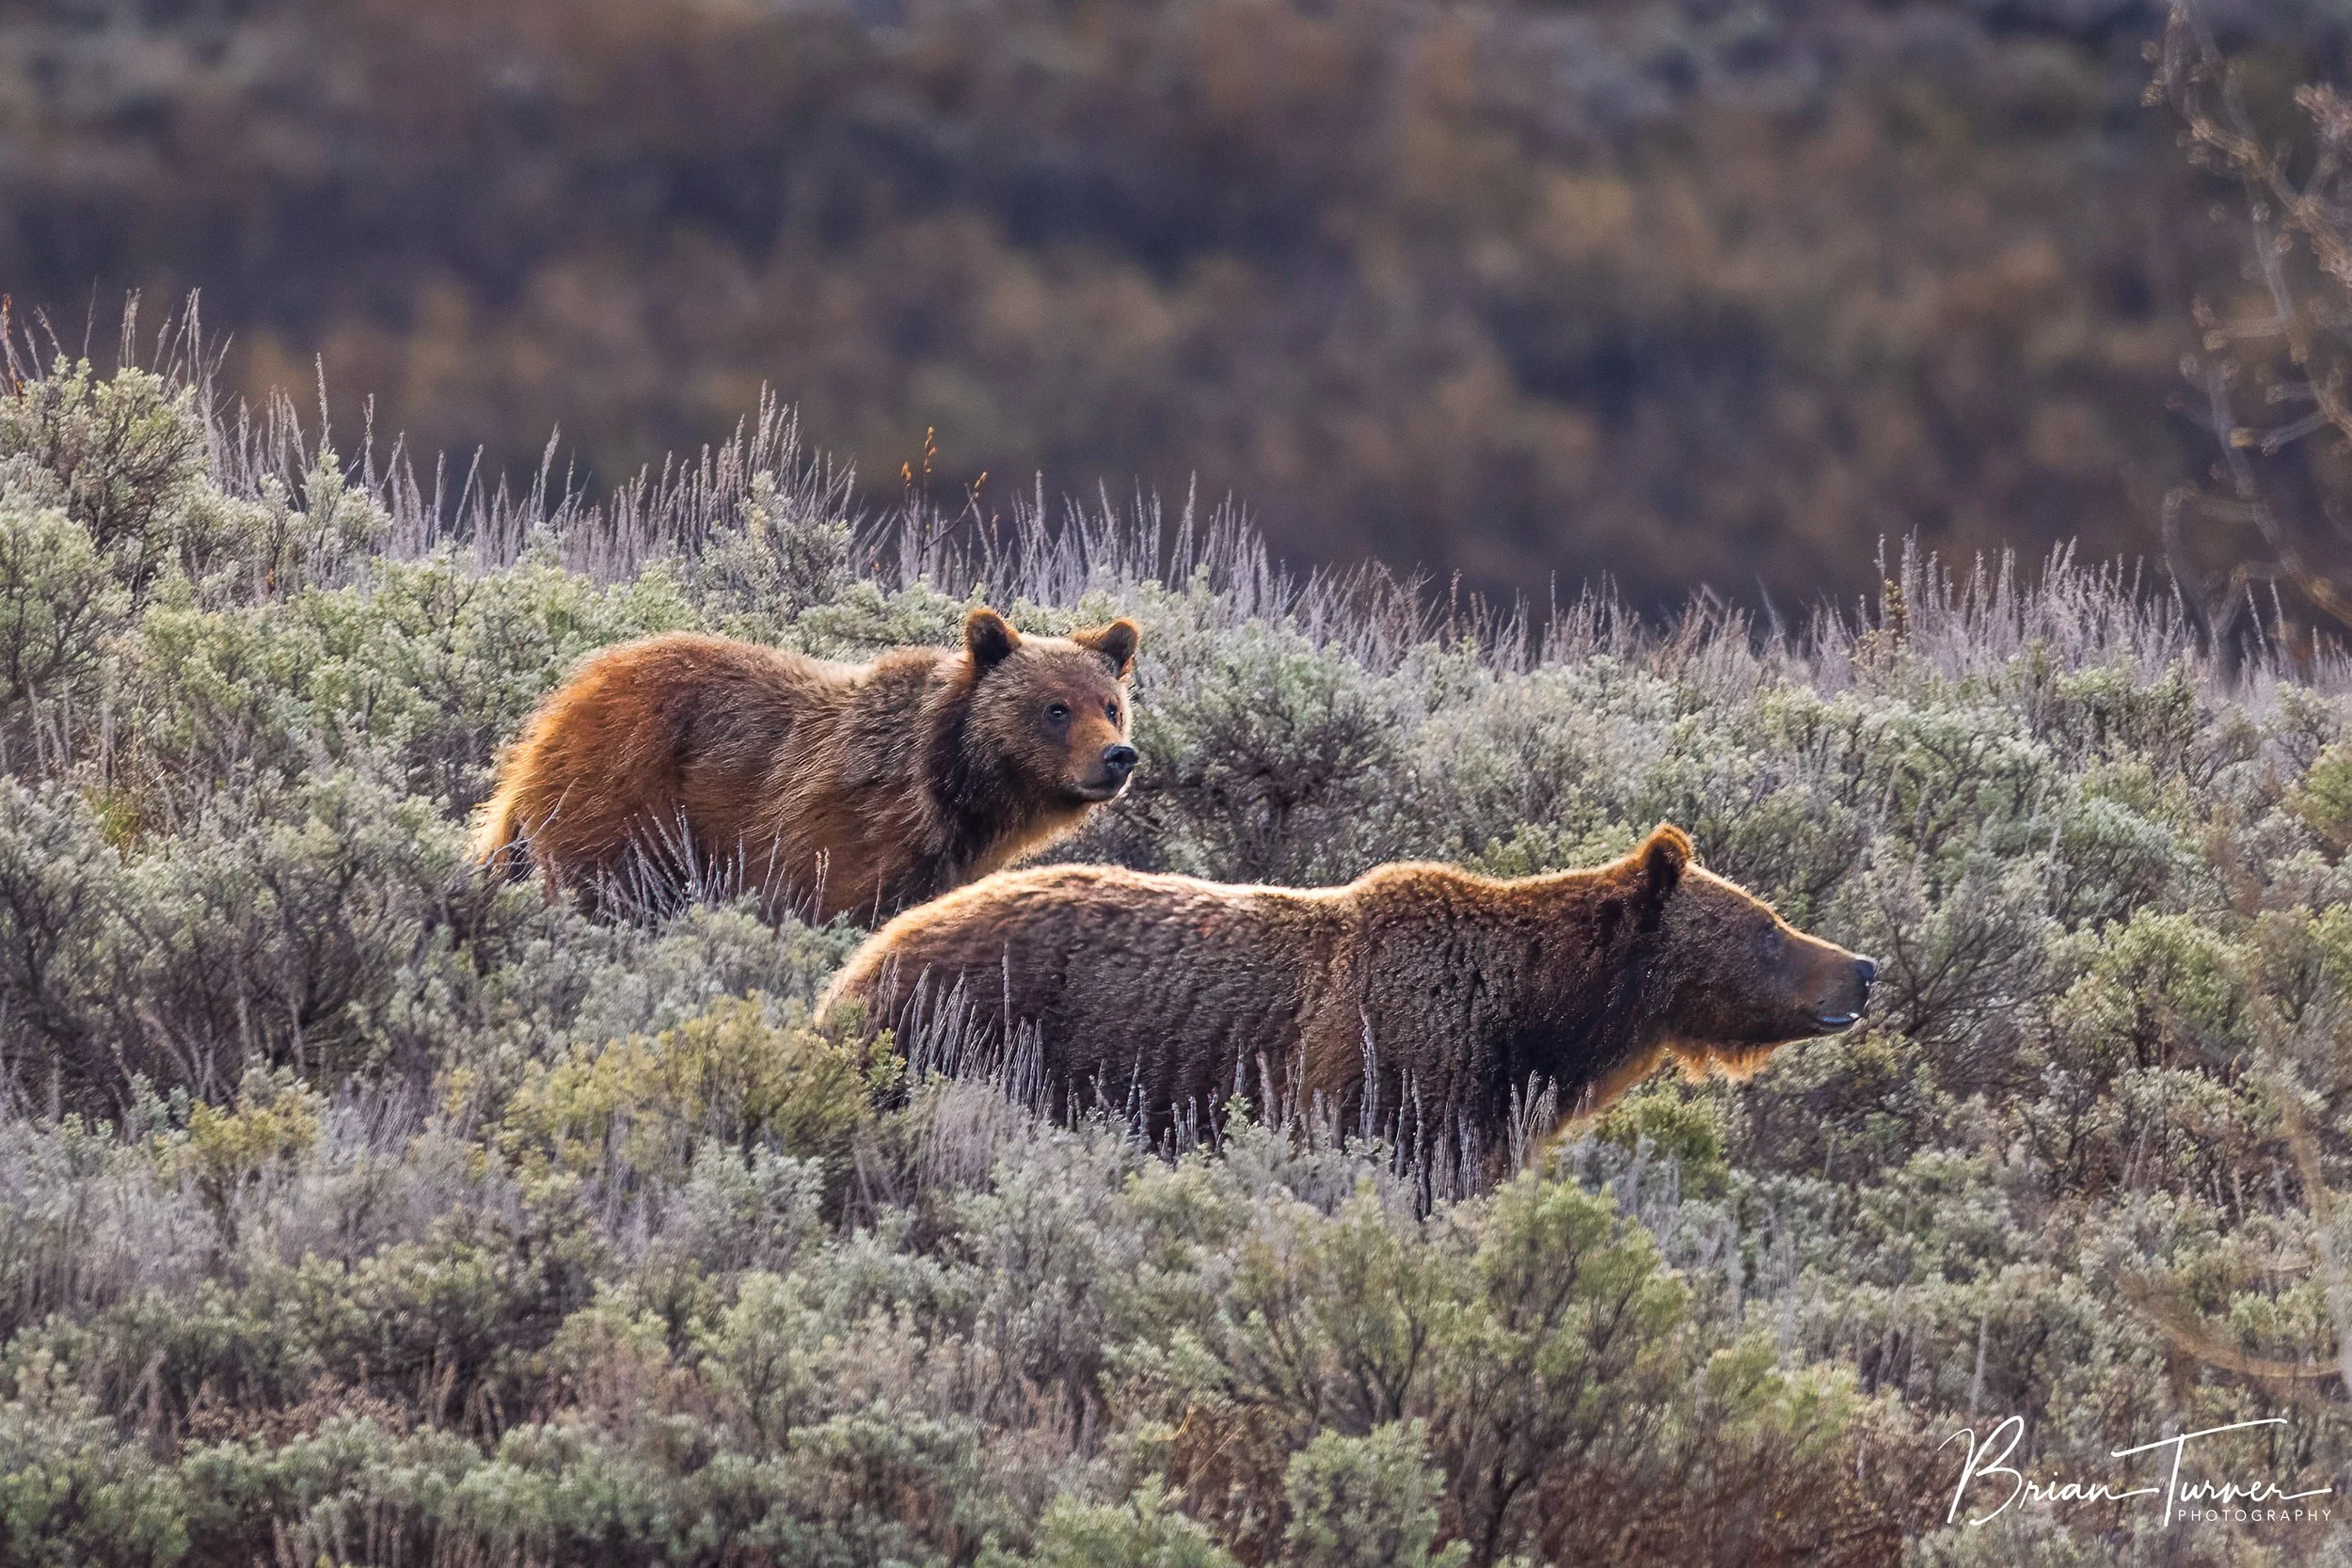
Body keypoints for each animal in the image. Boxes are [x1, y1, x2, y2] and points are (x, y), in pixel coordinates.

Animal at [817, 823, 1876, 1170]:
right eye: (1768, 923)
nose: (1860, 967)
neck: (1536, 1016)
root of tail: (858, 963)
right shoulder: (1394, 1063)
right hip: (954, 1033)